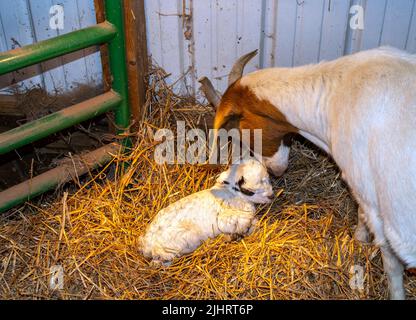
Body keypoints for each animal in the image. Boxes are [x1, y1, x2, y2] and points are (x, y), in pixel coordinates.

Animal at [141, 159, 274, 266]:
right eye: (249, 191)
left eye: (268, 179)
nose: (272, 196)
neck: (232, 194)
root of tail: (146, 244)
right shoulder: (227, 219)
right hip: (182, 243)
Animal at [200, 46, 416, 298]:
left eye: (242, 133)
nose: (274, 171)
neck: (335, 94)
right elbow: (361, 214)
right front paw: (359, 239)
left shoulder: (375, 203)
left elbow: (390, 262)